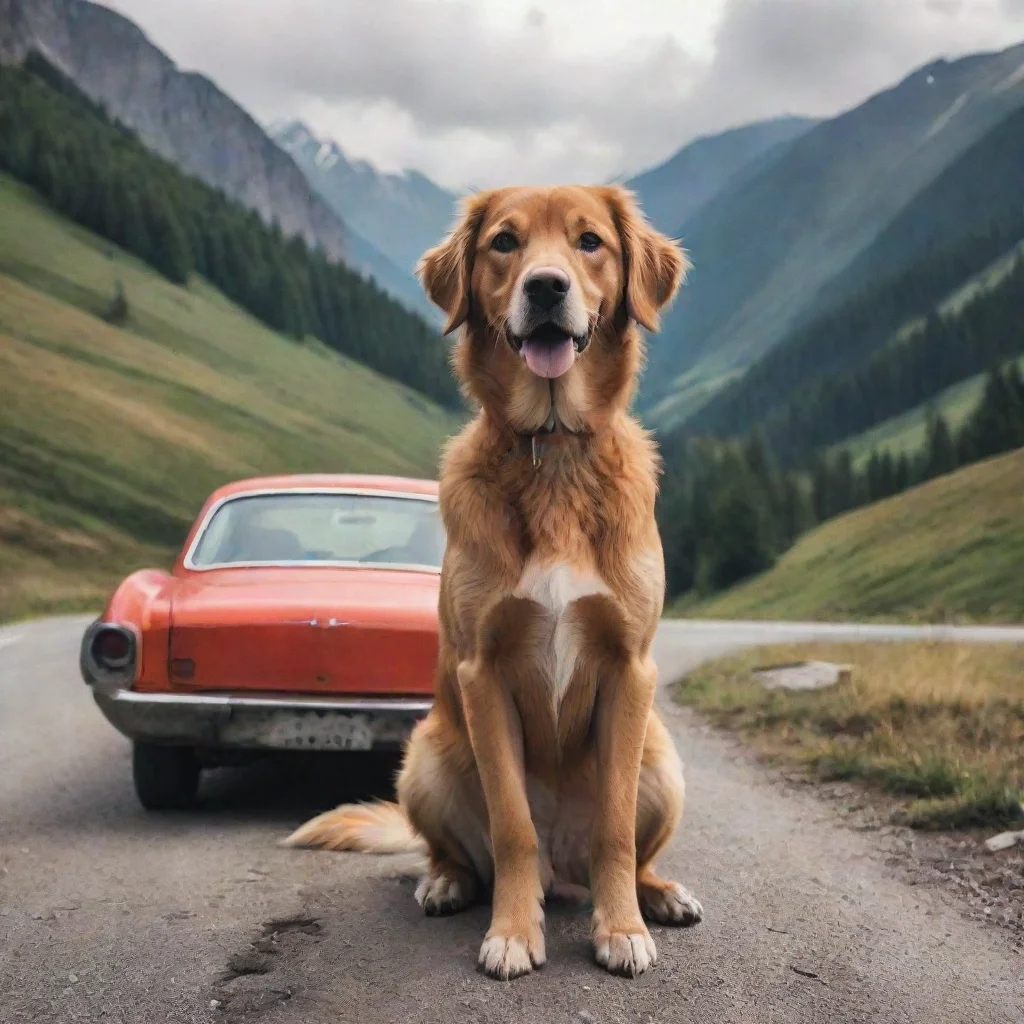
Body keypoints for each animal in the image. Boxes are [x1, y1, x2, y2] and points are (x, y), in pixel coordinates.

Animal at [288, 186, 704, 983]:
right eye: (505, 243)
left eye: (590, 241)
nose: (546, 287)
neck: (553, 453)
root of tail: (564, 878)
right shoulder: (482, 672)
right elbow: (513, 827)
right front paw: (513, 933)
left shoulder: (630, 669)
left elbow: (614, 830)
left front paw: (622, 930)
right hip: (425, 757)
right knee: (461, 851)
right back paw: (447, 882)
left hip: (664, 762)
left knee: (630, 854)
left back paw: (657, 895)